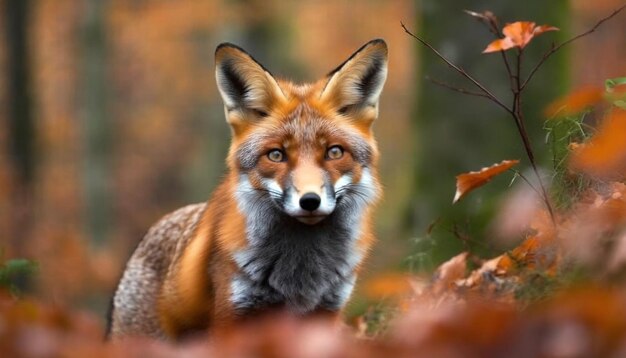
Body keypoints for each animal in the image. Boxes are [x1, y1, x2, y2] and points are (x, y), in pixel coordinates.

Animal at [109, 37, 388, 340]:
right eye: (276, 155)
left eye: (334, 152)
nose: (310, 201)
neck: (301, 273)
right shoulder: (235, 312)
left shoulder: (327, 310)